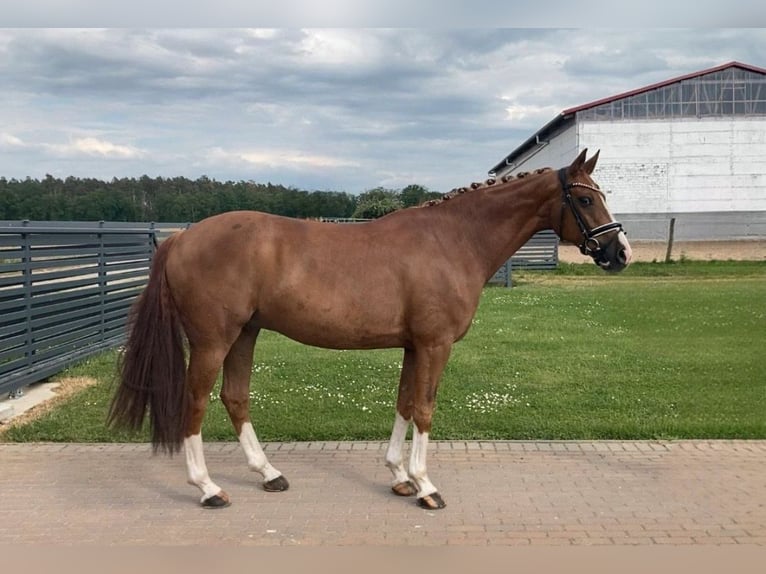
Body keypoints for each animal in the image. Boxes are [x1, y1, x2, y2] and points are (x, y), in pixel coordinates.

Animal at [109, 151, 636, 510]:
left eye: (602, 195)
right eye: (585, 198)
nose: (621, 253)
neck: (453, 240)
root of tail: (182, 236)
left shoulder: (414, 346)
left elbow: (404, 403)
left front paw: (400, 476)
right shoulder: (435, 345)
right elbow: (424, 409)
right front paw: (426, 486)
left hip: (245, 334)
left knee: (235, 398)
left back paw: (268, 473)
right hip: (213, 340)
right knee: (195, 403)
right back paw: (209, 488)